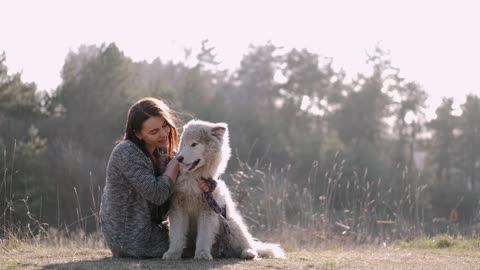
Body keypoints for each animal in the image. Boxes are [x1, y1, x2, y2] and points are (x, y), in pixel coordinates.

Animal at [163, 119, 284, 260]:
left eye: (194, 144)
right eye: (183, 144)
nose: (179, 158)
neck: (194, 178)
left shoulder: (208, 210)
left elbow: (204, 236)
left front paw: (202, 254)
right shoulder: (178, 208)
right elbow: (176, 235)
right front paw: (172, 253)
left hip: (231, 224)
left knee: (248, 244)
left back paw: (248, 253)